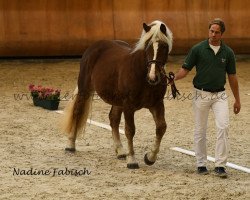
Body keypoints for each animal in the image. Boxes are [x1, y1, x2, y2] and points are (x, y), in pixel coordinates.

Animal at [61, 20, 178, 168]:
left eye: (164, 47)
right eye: (147, 46)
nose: (153, 77)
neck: (142, 75)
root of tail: (94, 47)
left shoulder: (156, 104)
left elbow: (161, 127)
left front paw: (150, 158)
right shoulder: (129, 106)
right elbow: (130, 130)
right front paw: (132, 160)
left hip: (117, 101)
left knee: (113, 119)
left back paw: (120, 151)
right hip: (84, 89)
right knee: (77, 111)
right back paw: (70, 145)